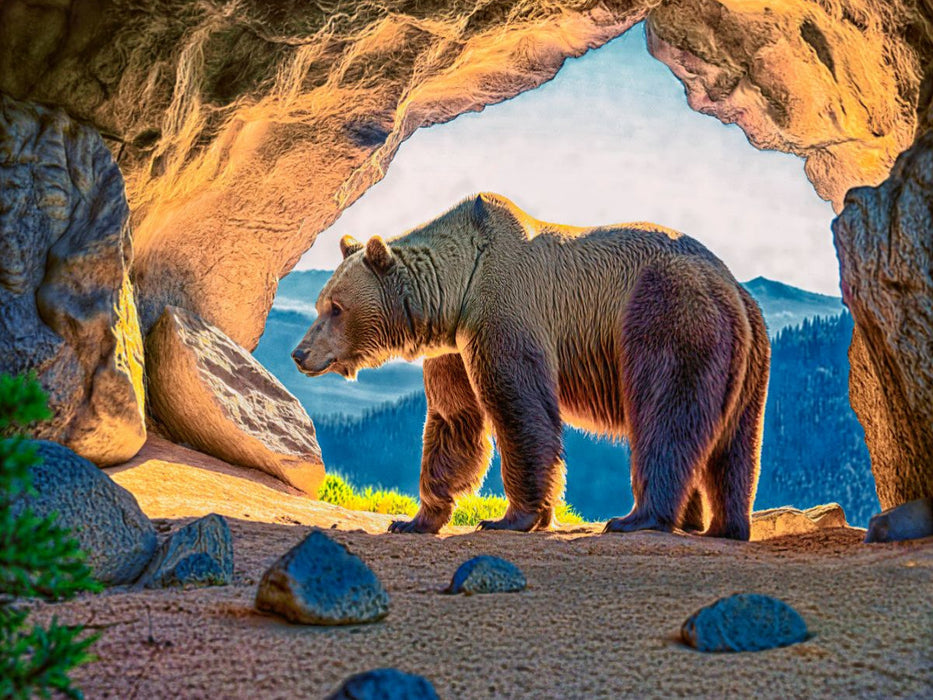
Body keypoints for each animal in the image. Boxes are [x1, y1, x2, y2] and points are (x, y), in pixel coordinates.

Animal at [292, 193, 770, 540]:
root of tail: (730, 286)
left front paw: (512, 516)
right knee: (735, 446)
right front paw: (414, 519)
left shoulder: (504, 312)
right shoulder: (453, 348)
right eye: (321, 303)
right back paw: (724, 525)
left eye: (335, 307)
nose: (300, 353)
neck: (457, 289)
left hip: (668, 316)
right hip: (749, 359)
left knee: (665, 415)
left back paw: (637, 517)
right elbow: (454, 420)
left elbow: (519, 408)